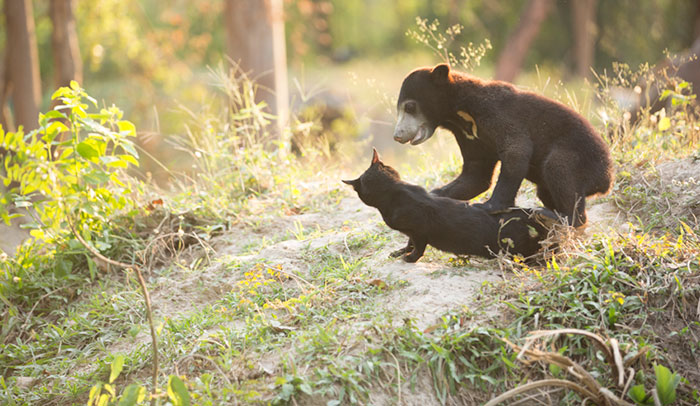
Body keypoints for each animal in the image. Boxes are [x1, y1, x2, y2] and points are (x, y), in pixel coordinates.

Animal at [342, 149, 560, 264]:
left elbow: (418, 246)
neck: (395, 191)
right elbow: (409, 242)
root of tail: (525, 211)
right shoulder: (411, 233)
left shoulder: (419, 230)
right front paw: (400, 252)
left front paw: (409, 258)